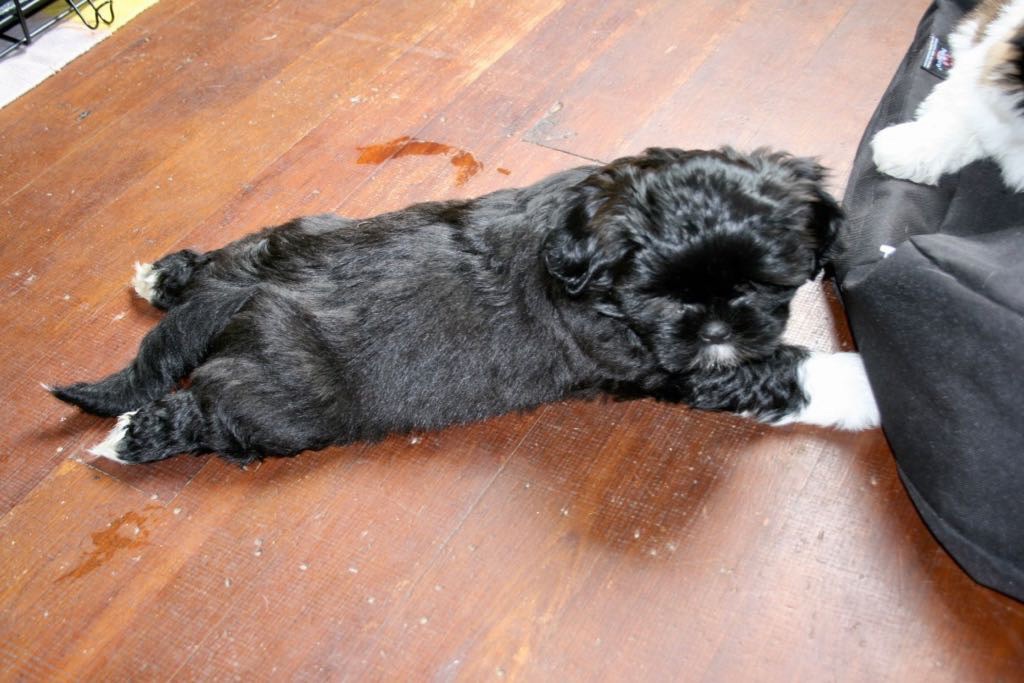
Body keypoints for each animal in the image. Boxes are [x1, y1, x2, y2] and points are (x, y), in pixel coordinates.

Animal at [49, 144, 880, 464]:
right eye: (658, 294)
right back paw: (126, 437)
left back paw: (163, 276)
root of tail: (249, 292)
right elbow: (788, 369)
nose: (713, 324)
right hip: (288, 403)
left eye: (766, 282)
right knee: (207, 414)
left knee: (224, 259)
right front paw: (871, 388)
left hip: (290, 234)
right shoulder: (683, 364)